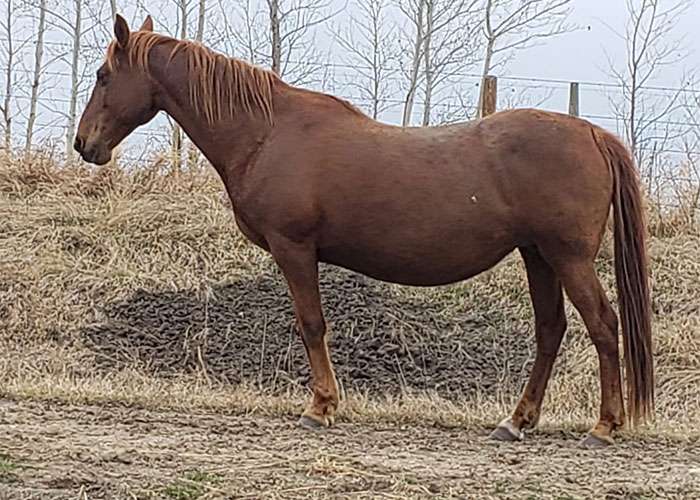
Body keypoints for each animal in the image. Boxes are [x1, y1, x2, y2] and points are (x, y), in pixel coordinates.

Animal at [74, 14, 653, 447]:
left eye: (103, 75)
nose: (84, 144)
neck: (266, 133)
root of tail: (591, 133)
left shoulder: (294, 248)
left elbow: (311, 325)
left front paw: (321, 406)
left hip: (568, 257)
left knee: (604, 326)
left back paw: (605, 425)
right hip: (538, 255)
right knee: (551, 330)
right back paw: (517, 421)